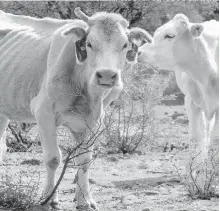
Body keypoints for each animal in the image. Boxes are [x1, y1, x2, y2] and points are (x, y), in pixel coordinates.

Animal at [0, 7, 151, 209]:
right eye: (89, 44)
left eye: (125, 45)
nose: (106, 75)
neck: (85, 89)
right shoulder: (44, 114)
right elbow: (53, 158)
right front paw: (48, 199)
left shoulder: (94, 122)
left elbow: (85, 161)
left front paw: (85, 200)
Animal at [138, 14, 219, 188]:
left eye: (169, 35)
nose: (139, 51)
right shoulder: (191, 103)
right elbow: (196, 137)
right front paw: (193, 172)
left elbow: (216, 139)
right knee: (204, 134)